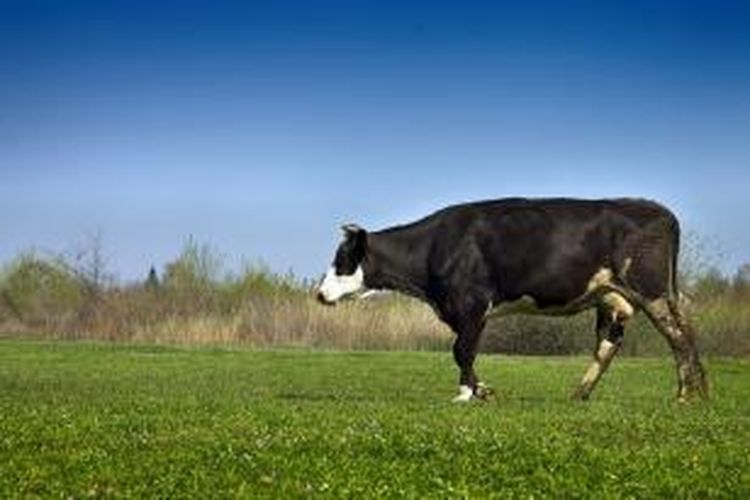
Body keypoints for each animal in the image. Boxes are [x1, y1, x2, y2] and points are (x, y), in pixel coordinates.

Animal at [318, 198, 712, 402]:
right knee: (609, 344)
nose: (319, 294)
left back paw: (687, 395)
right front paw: (482, 390)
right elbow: (463, 351)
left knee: (679, 335)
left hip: (652, 289)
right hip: (612, 297)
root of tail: (657, 209)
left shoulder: (473, 304)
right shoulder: (463, 310)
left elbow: (462, 350)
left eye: (341, 259)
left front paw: (466, 393)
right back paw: (580, 393)